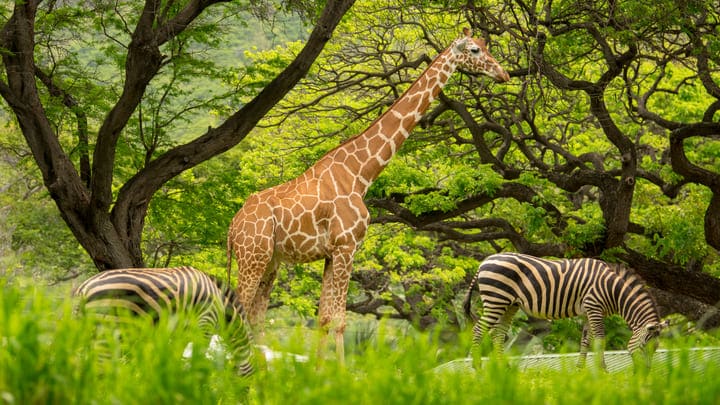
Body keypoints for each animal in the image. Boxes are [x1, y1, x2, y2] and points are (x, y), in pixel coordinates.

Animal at [75, 266, 256, 376]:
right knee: (99, 369)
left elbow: (175, 359)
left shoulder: (181, 333)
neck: (221, 307)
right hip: (108, 330)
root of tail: (83, 288)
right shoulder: (205, 323)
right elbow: (198, 361)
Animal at [228, 28, 510, 362]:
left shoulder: (330, 253)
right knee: (238, 311)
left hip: (271, 261)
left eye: (486, 46)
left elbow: (324, 318)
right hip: (252, 256)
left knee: (255, 315)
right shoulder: (346, 246)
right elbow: (339, 320)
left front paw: (319, 370)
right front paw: (339, 371)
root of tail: (232, 227)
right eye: (475, 50)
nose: (503, 74)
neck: (360, 173)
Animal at [464, 252, 668, 370]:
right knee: (479, 329)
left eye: (656, 347)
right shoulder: (595, 307)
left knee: (498, 333)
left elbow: (586, 340)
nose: (646, 373)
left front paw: (580, 369)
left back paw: (502, 366)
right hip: (496, 299)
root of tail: (484, 261)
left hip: (509, 304)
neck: (613, 290)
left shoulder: (588, 311)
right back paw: (477, 365)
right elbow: (600, 339)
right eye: (645, 345)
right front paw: (602, 369)